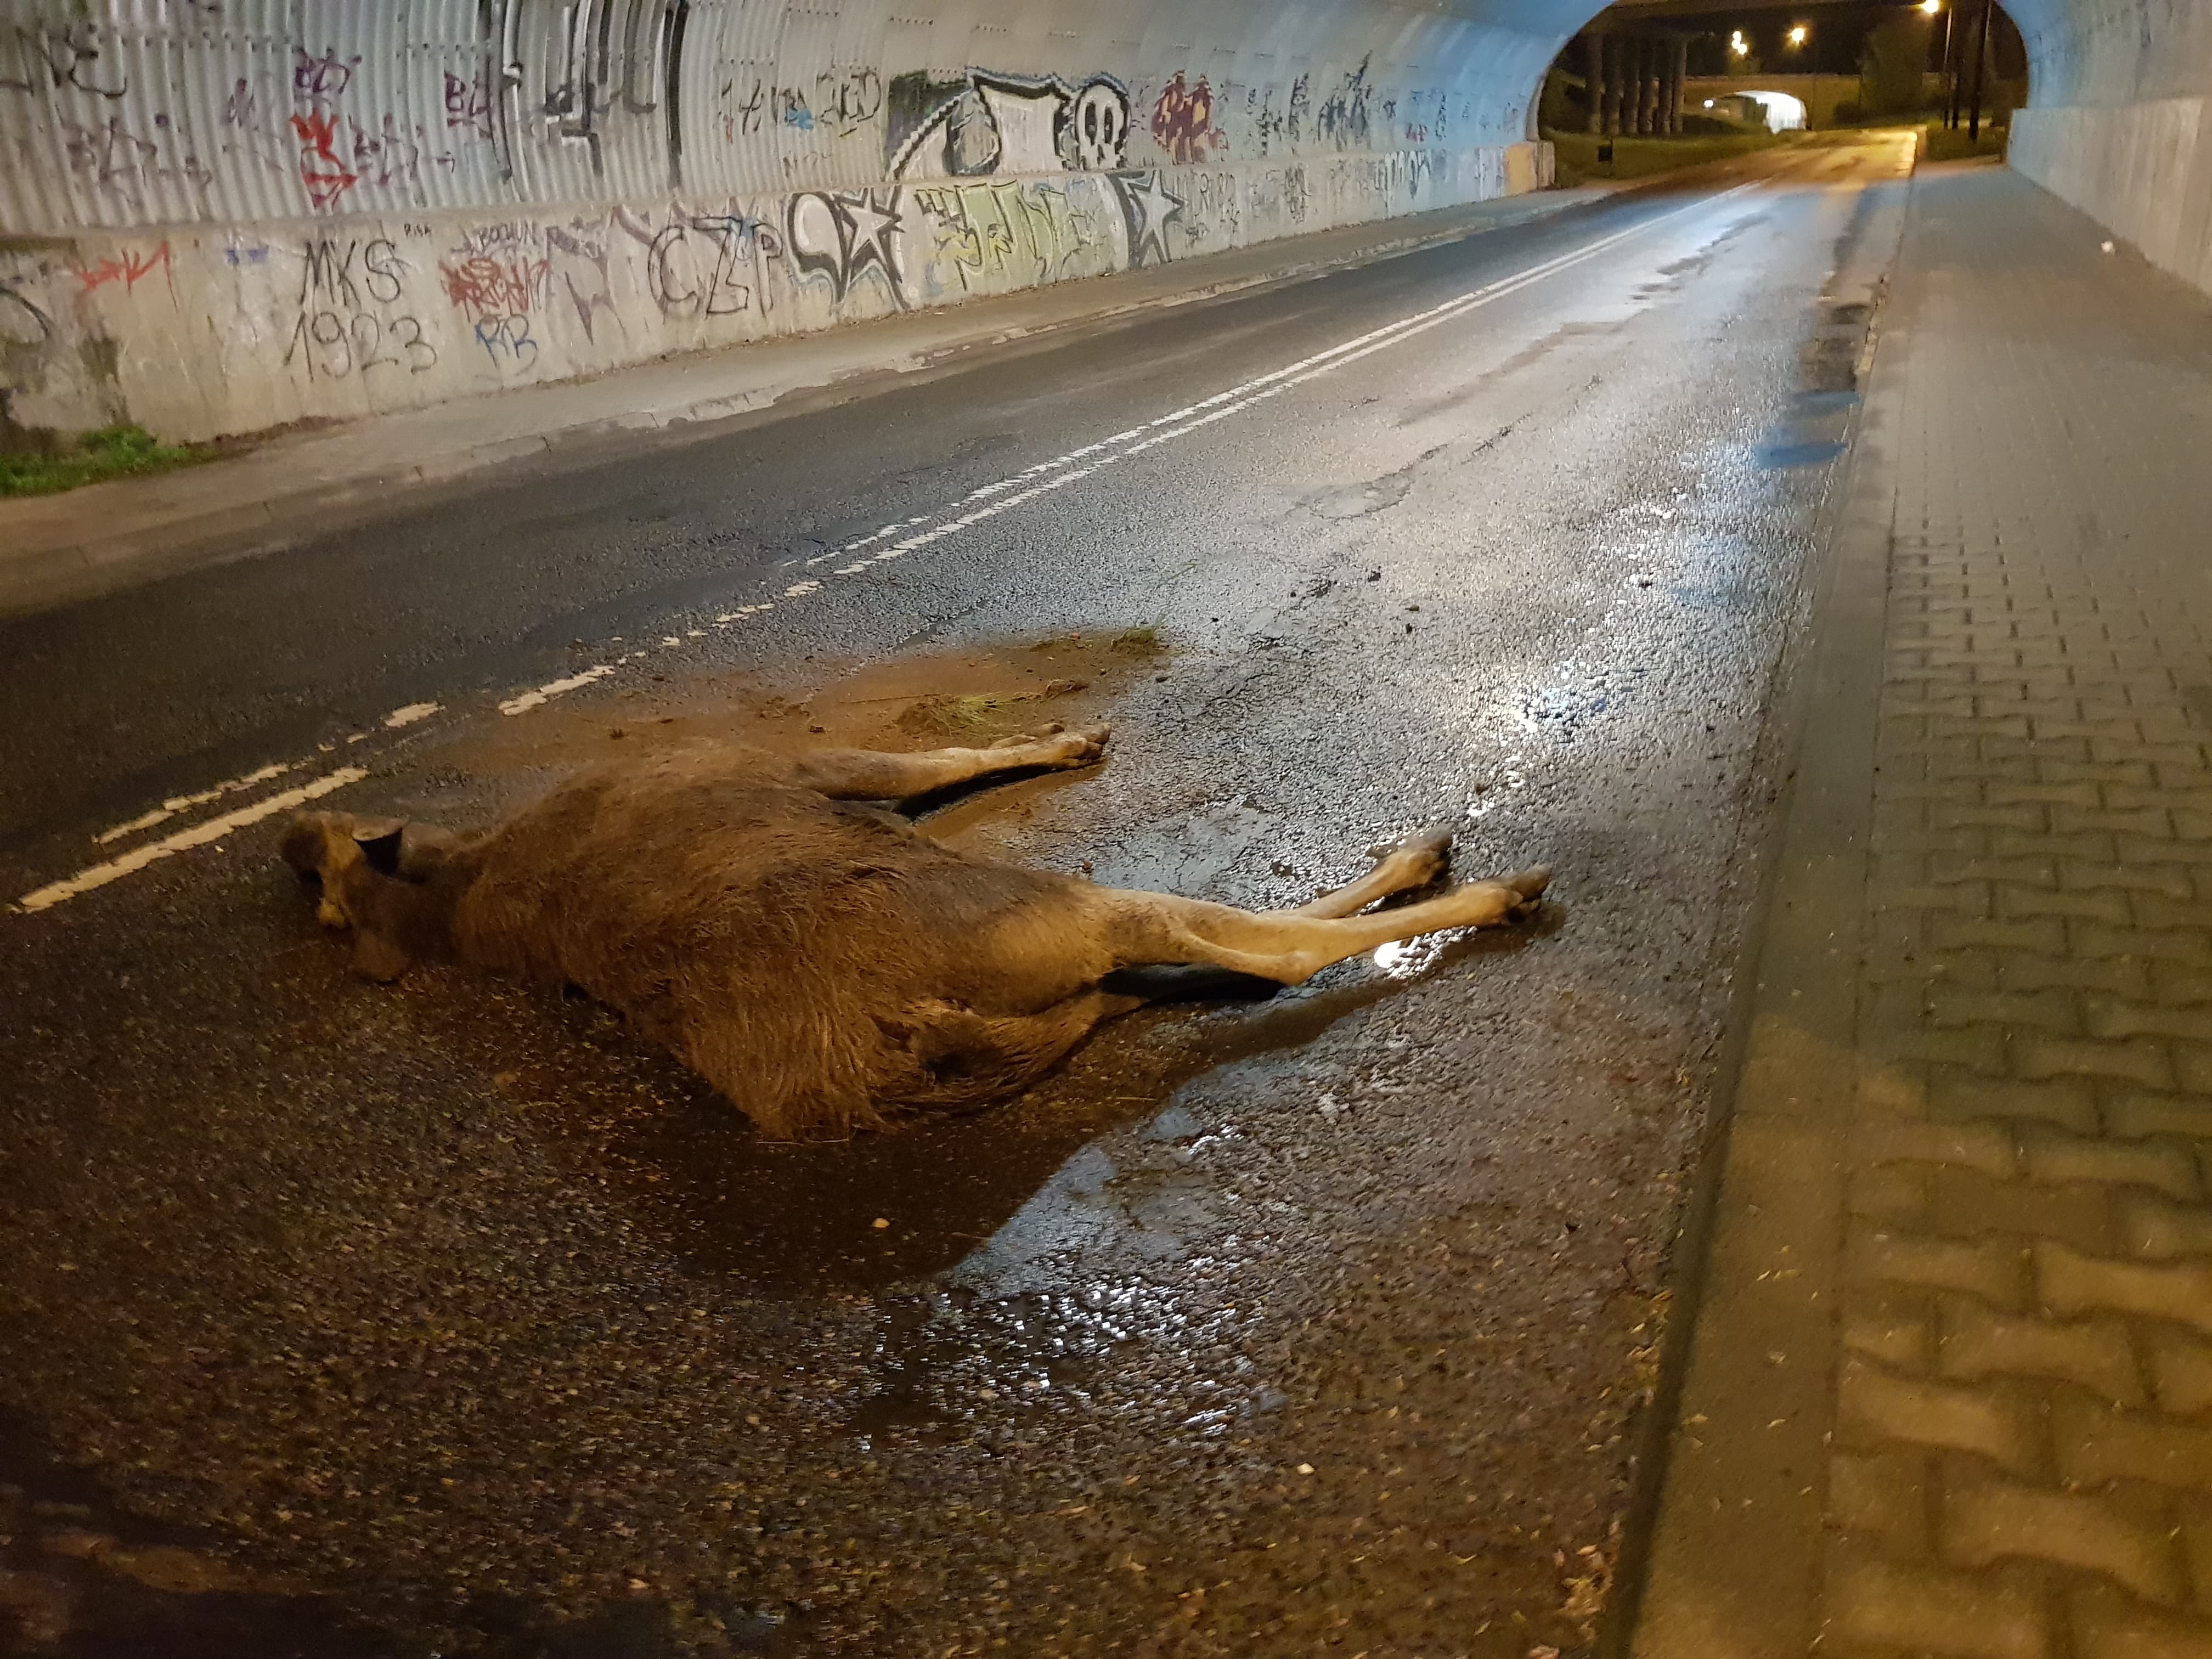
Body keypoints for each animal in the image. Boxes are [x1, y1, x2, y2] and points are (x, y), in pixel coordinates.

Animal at [285, 725, 1548, 1141]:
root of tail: (882, 1040)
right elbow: (938, 760)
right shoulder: (800, 762)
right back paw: (1469, 879)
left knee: (1205, 956)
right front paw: (1070, 737)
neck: (460, 882)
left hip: (1049, 958)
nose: (296, 850)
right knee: (1255, 945)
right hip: (1040, 909)